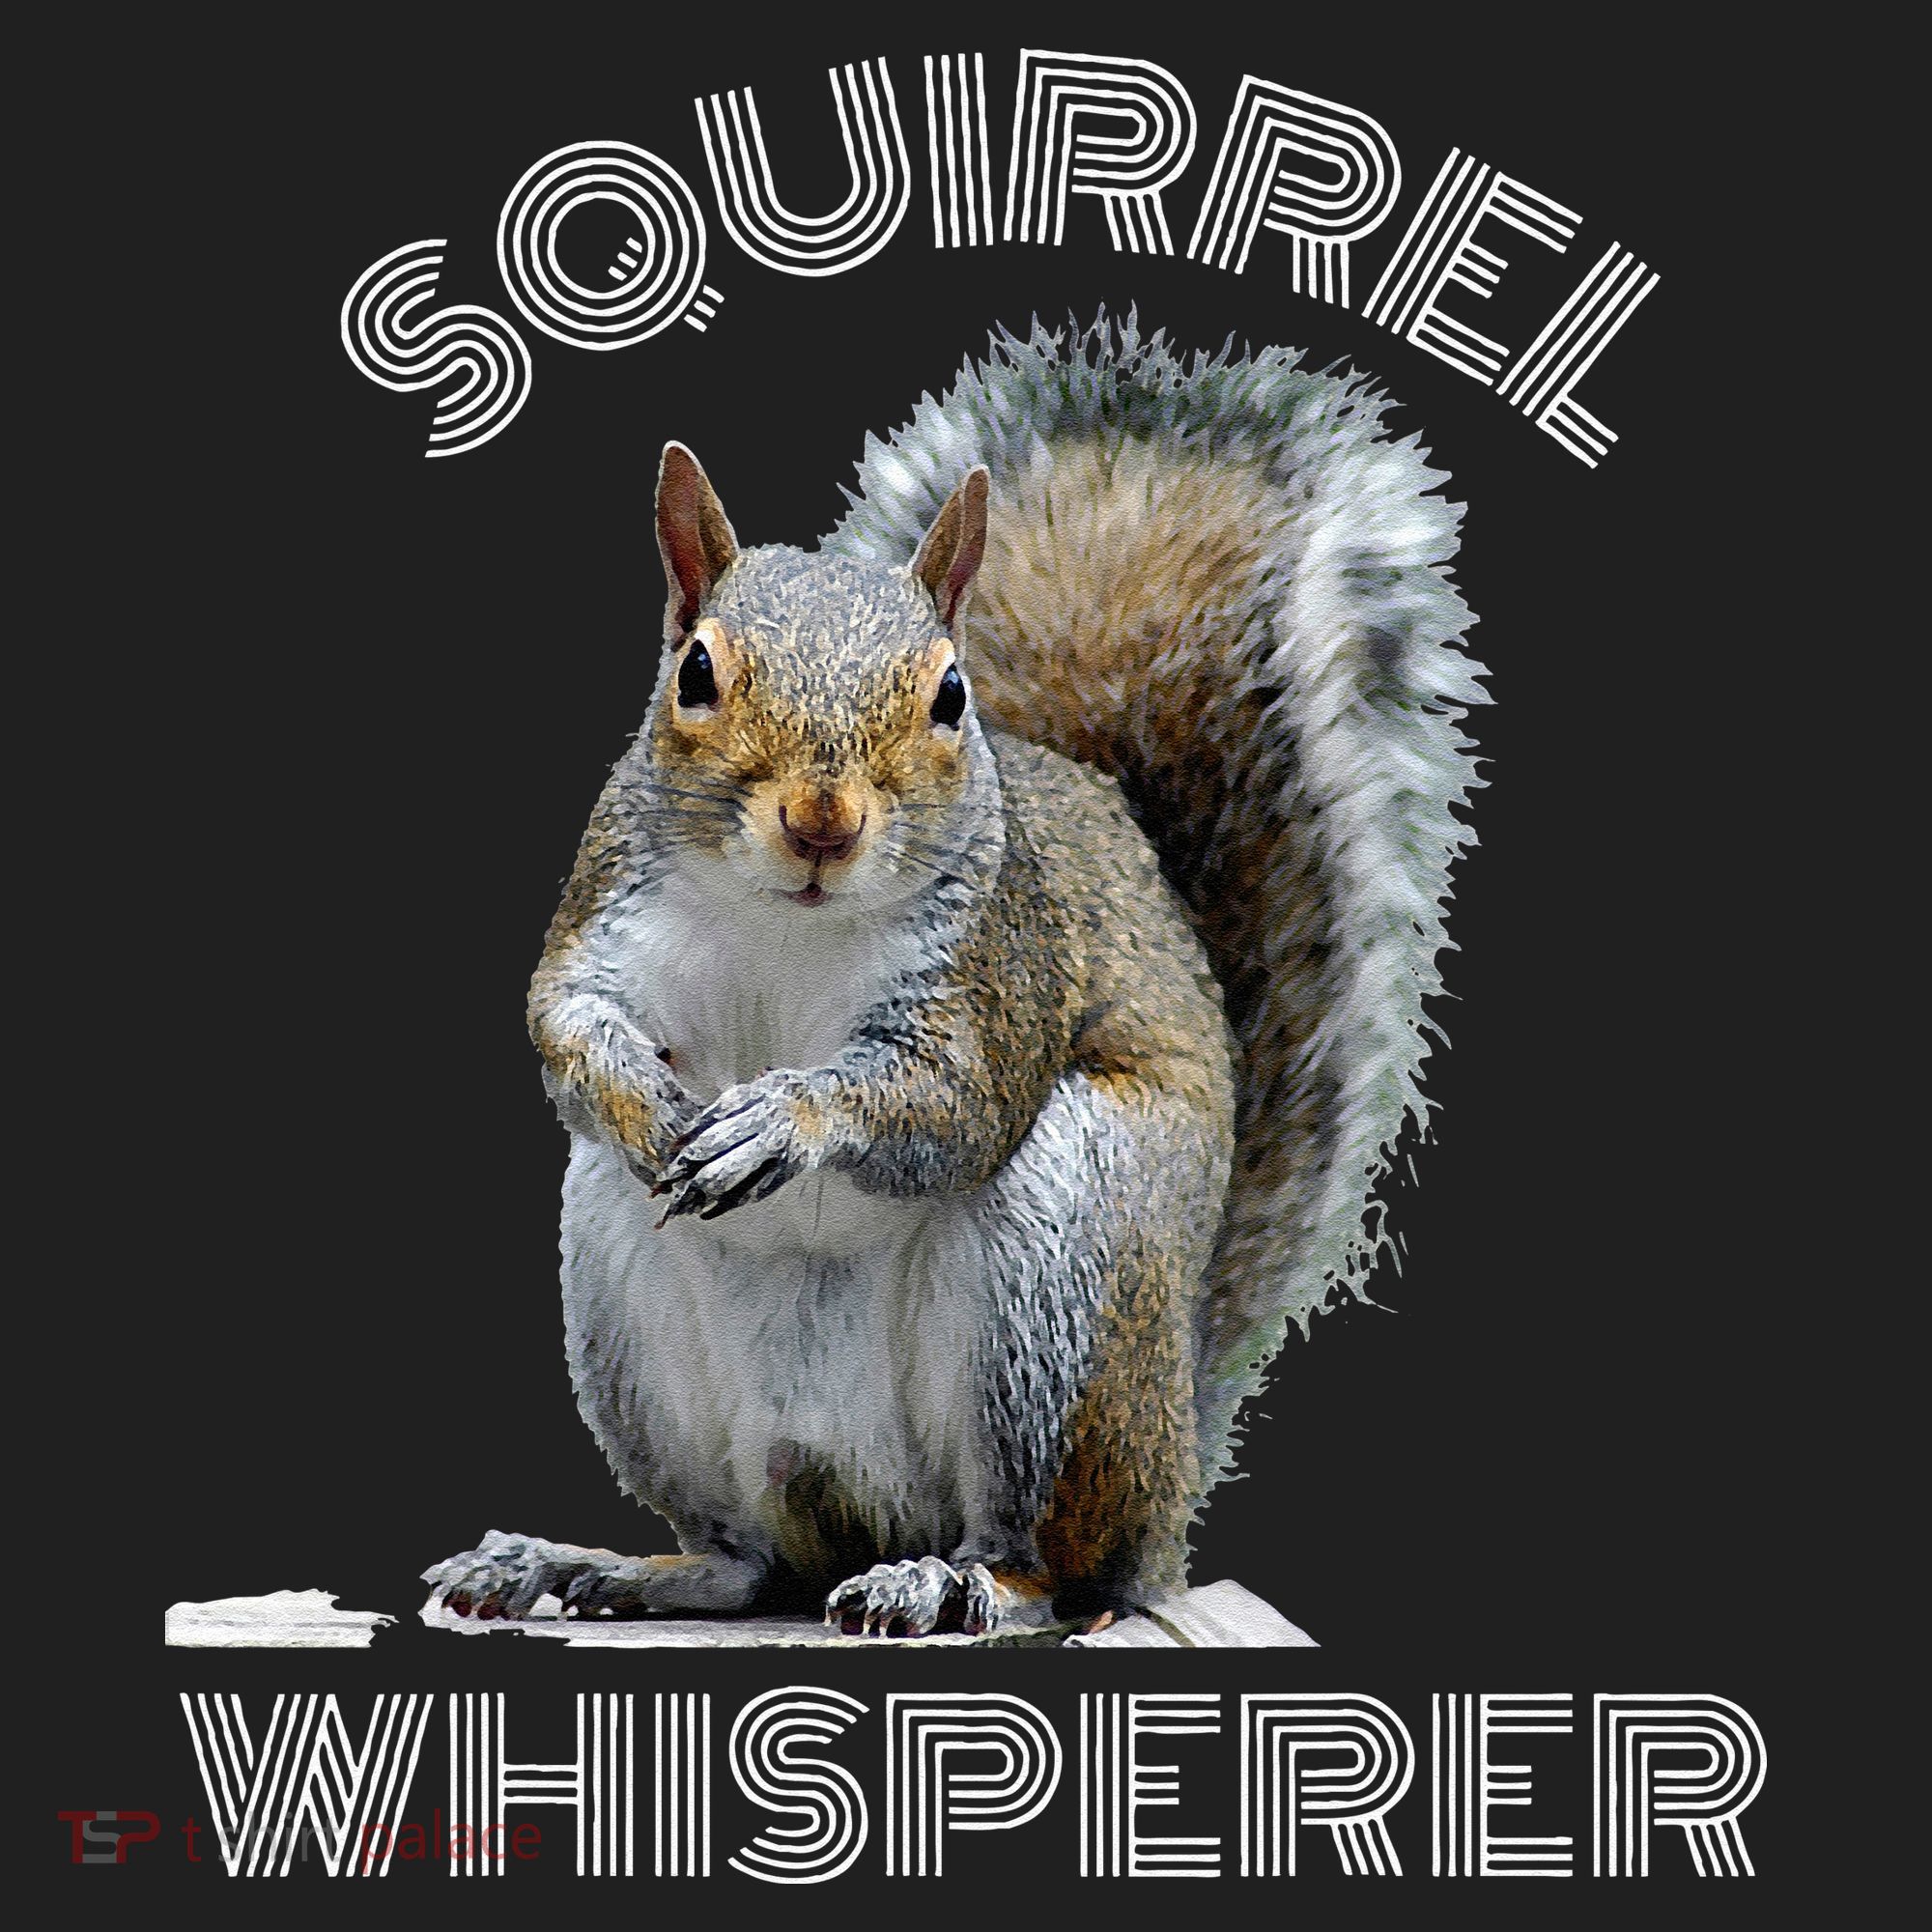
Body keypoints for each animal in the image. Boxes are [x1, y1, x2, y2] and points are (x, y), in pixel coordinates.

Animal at [424, 315, 1482, 1637]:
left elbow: (952, 1099)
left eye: (948, 692)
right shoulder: (608, 907)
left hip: (1064, 1266)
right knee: (744, 1559)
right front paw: (642, 1097)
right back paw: (592, 1564)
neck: (790, 919)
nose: (820, 822)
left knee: (1050, 1559)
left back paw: (949, 1577)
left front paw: (782, 1117)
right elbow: (564, 1018)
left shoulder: (997, 969)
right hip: (625, 1298)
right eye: (695, 673)